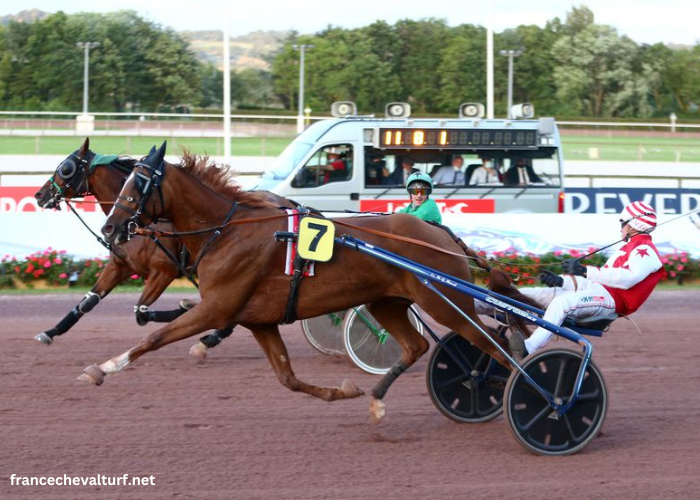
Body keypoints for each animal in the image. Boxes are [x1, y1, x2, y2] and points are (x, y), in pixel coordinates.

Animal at [90, 141, 532, 422]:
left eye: (138, 183)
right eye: (124, 181)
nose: (110, 227)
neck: (227, 231)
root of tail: (441, 233)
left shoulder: (218, 307)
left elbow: (155, 337)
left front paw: (104, 367)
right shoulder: (259, 320)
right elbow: (287, 378)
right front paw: (343, 392)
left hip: (443, 301)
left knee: (494, 344)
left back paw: (519, 386)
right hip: (387, 302)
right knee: (419, 346)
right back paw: (378, 399)